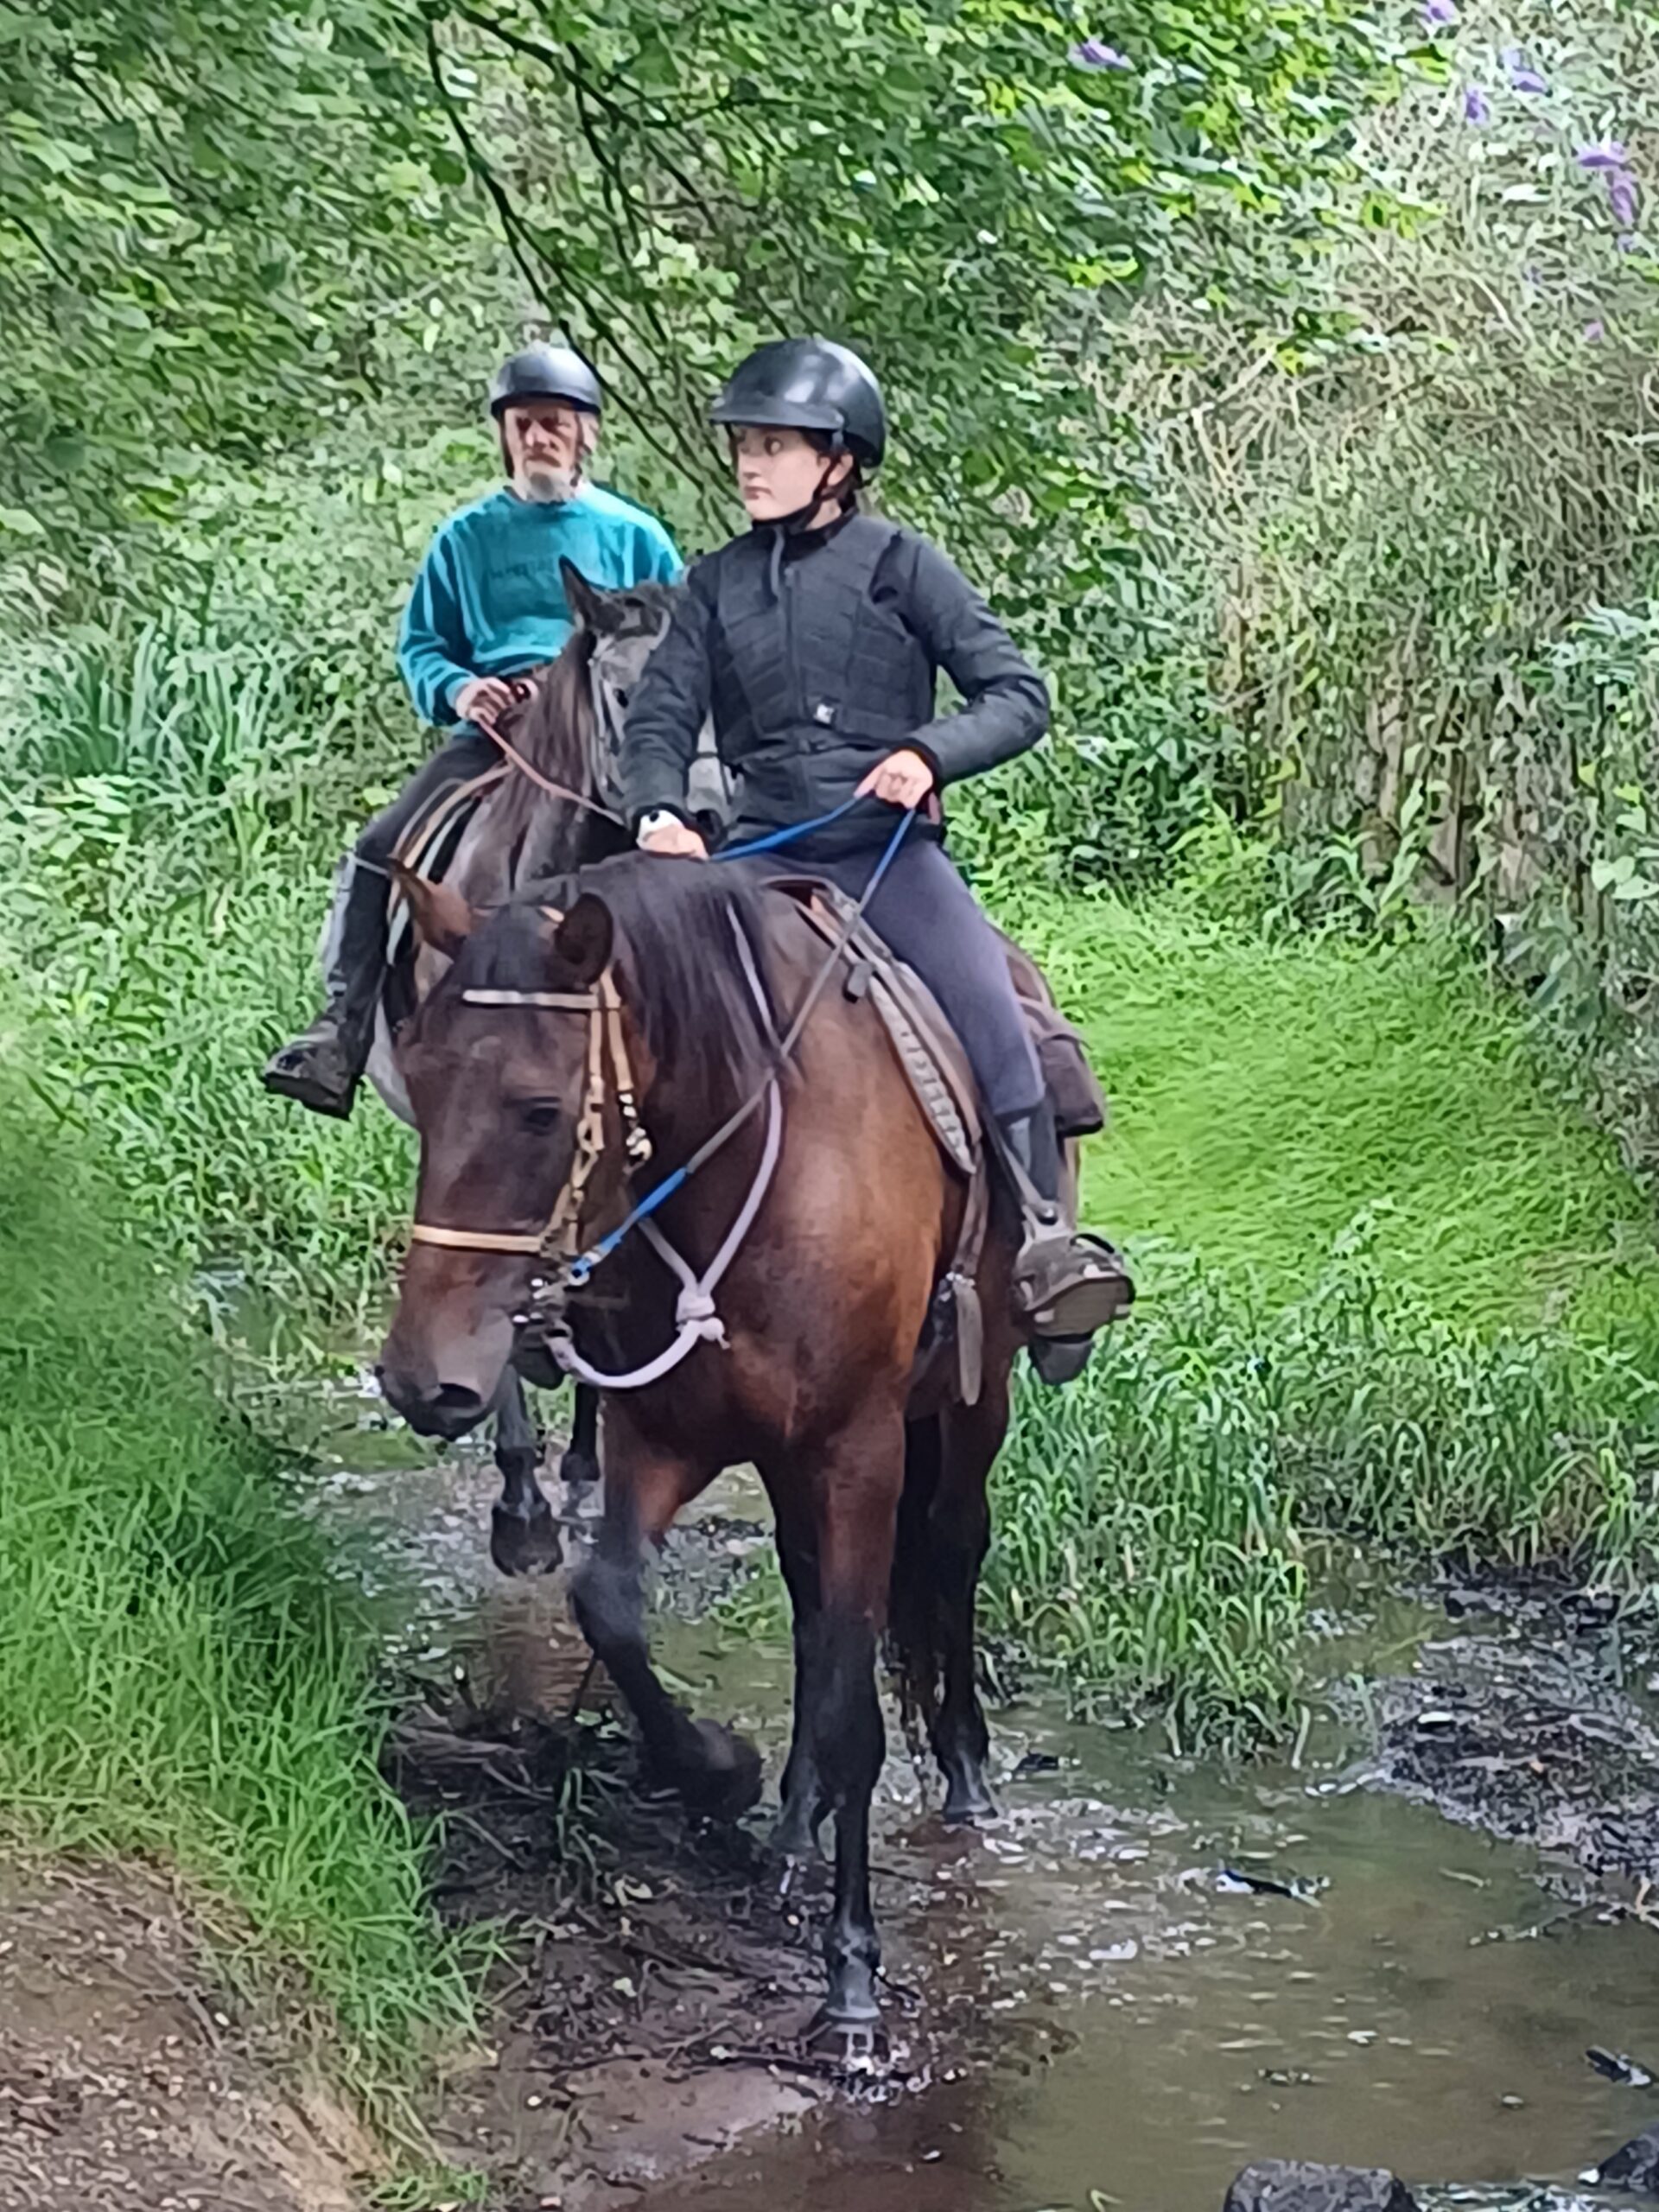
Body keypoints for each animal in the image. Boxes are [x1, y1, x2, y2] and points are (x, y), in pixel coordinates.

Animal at [377, 851, 1024, 2057]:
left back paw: (963, 1775)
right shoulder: (661, 1433)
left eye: (540, 1109)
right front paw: (720, 1771)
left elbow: (858, 1707)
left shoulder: (860, 1450)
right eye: (423, 1086)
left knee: (953, 1550)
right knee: (814, 1609)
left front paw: (852, 1981)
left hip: (975, 1390)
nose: (419, 1376)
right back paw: (792, 1829)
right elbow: (613, 1605)